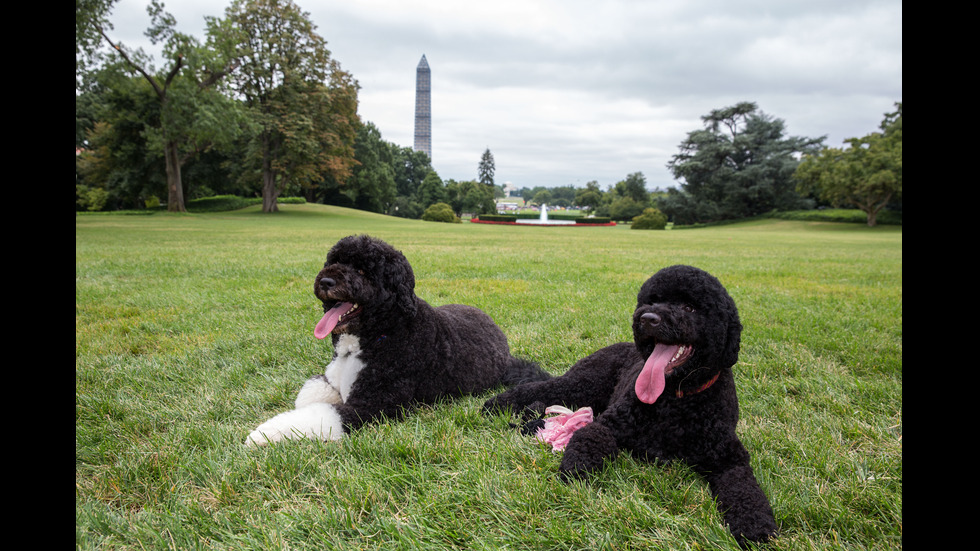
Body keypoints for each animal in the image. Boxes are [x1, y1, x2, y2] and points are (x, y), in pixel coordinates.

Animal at [247, 234, 552, 448]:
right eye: (334, 261)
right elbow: (310, 395)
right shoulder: (331, 379)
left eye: (363, 271)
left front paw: (263, 433)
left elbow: (320, 414)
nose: (326, 281)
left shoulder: (373, 405)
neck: (378, 334)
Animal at [486, 266, 776, 548]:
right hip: (582, 384)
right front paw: (577, 468)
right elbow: (590, 436)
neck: (676, 399)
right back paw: (495, 404)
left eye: (689, 307)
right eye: (653, 300)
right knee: (541, 388)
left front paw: (755, 525)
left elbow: (745, 489)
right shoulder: (610, 424)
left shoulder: (729, 458)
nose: (647, 318)